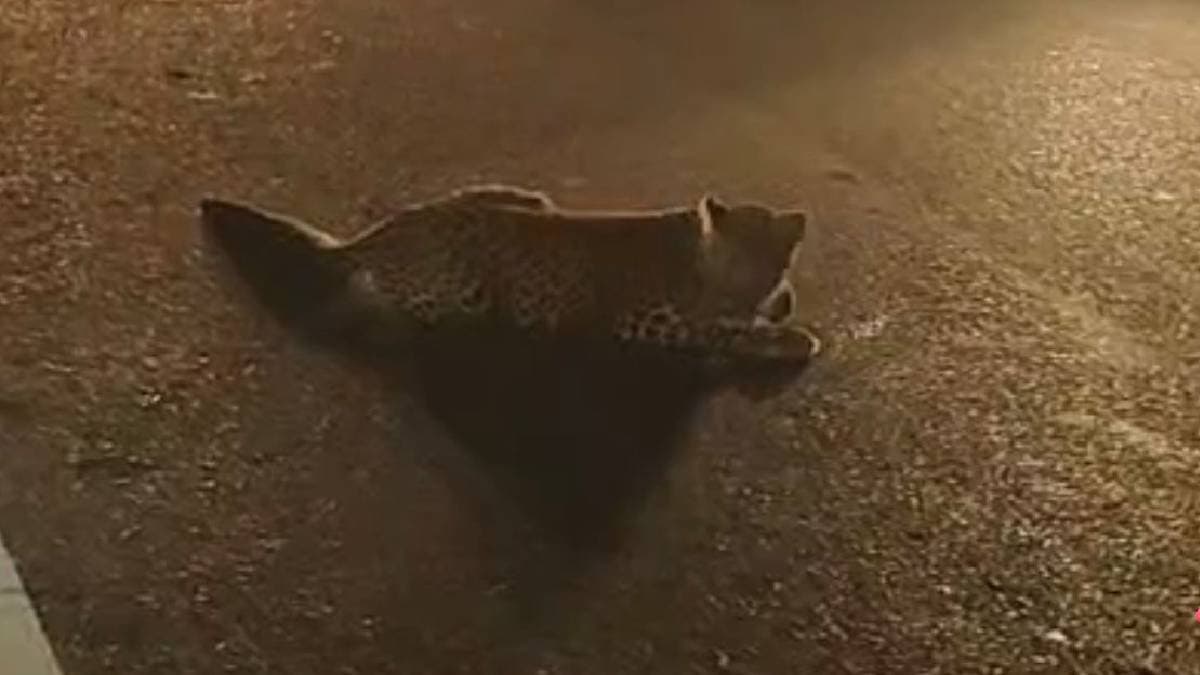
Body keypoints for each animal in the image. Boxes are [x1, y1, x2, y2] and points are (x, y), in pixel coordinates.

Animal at [200, 184, 821, 369]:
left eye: (772, 261)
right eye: (735, 262)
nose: (750, 295)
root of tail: (379, 233)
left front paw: (780, 308)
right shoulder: (645, 318)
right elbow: (722, 330)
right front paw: (789, 338)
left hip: (530, 196)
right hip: (463, 285)